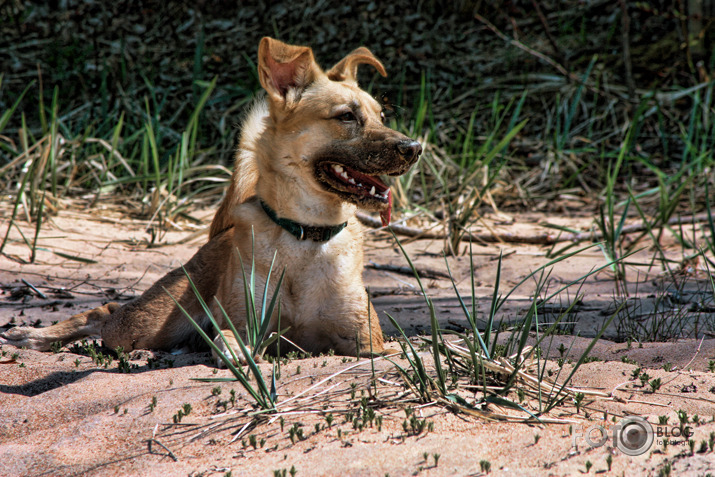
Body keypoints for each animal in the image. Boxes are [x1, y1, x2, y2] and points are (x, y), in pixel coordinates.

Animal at [0, 37, 422, 364]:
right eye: (346, 116)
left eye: (382, 116)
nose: (414, 148)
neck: (306, 232)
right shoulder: (245, 323)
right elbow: (232, 338)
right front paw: (234, 353)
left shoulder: (371, 343)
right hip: (144, 326)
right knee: (105, 310)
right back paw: (32, 336)